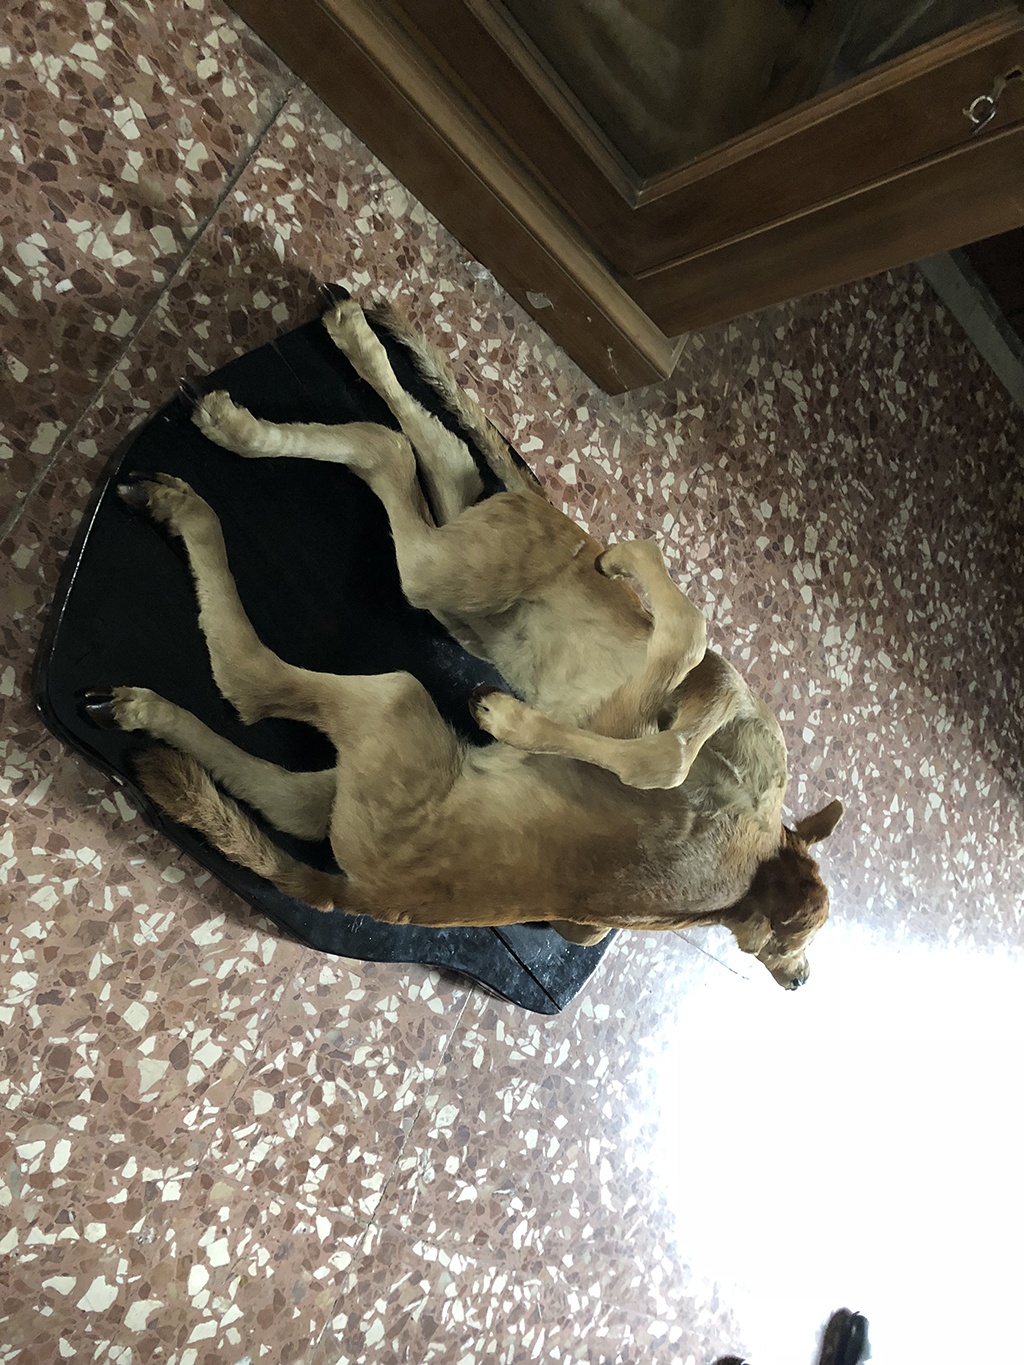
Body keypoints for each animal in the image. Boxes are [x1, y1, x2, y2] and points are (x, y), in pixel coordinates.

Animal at [84, 295, 842, 989]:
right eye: (791, 943)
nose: (800, 978)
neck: (749, 868)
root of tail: (362, 896)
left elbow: (675, 674)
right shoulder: (705, 714)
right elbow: (683, 662)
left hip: (423, 637)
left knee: (373, 476)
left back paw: (211, 473)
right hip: (468, 575)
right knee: (439, 456)